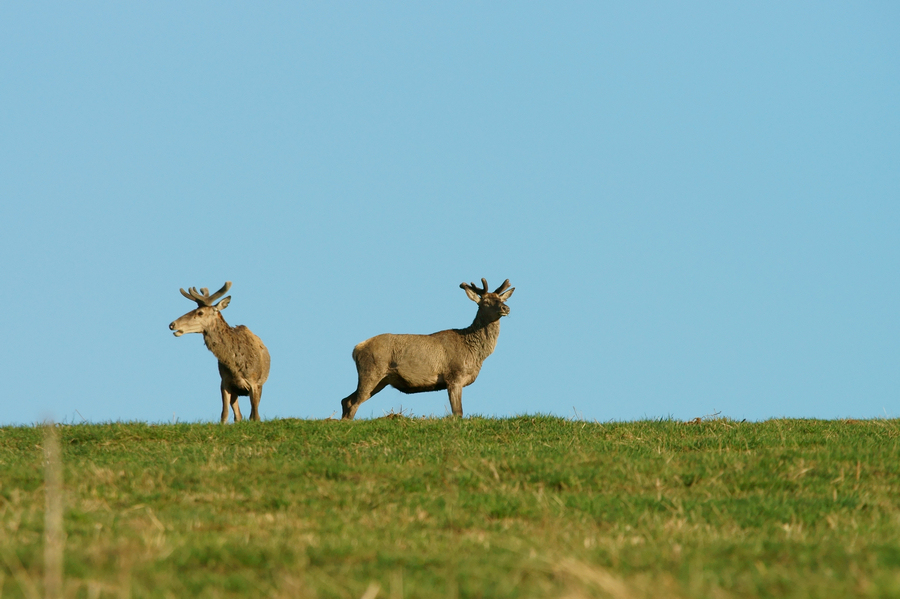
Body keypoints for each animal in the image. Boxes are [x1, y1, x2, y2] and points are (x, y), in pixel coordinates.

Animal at [167, 284, 268, 424]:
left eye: (200, 312)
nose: (172, 324)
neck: (236, 366)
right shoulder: (224, 382)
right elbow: (224, 414)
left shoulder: (254, 382)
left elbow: (255, 416)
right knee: (238, 415)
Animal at [342, 278, 516, 420]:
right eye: (485, 302)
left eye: (500, 299)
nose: (505, 308)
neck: (473, 353)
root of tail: (357, 348)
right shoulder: (454, 375)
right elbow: (458, 412)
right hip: (371, 371)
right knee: (353, 402)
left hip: (382, 380)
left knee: (346, 400)